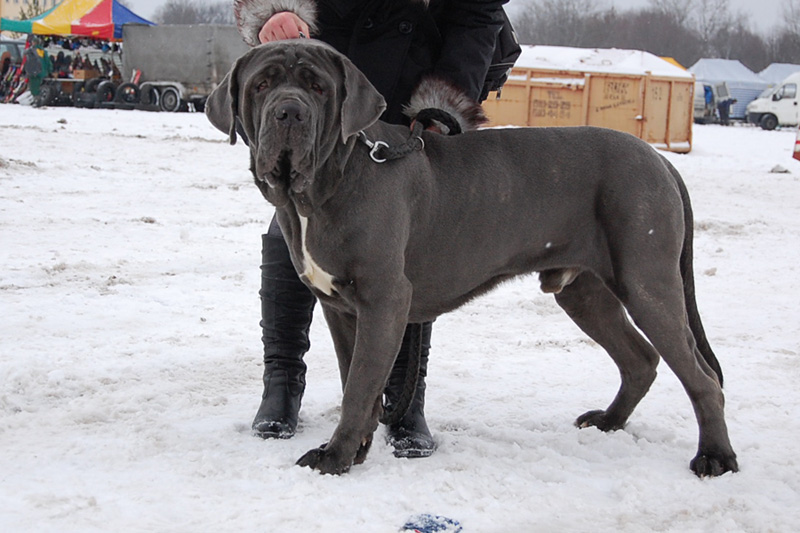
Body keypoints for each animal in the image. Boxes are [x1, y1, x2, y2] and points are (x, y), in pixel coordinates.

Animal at [207, 40, 738, 477]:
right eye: (261, 85)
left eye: (317, 87)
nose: (288, 113)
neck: (321, 186)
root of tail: (660, 159)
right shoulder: (340, 307)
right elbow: (355, 379)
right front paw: (355, 450)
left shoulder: (384, 299)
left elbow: (358, 386)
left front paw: (334, 457)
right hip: (584, 292)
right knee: (641, 359)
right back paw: (609, 421)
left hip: (647, 281)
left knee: (702, 376)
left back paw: (715, 457)